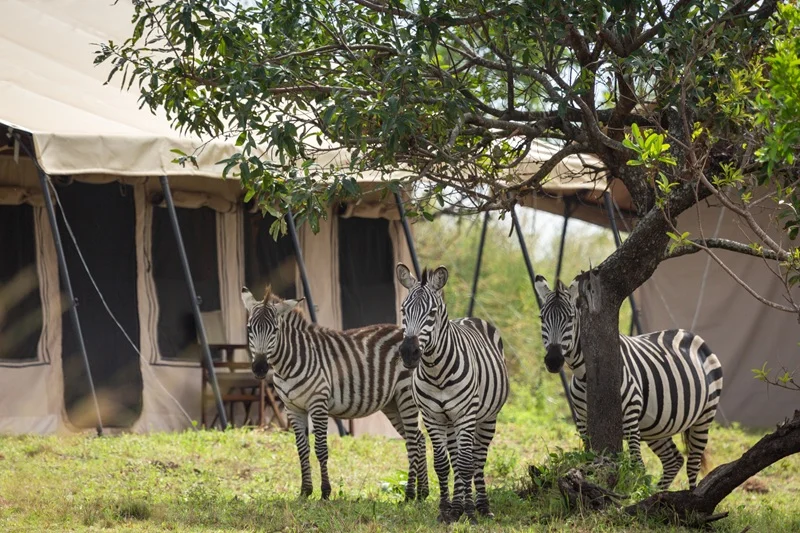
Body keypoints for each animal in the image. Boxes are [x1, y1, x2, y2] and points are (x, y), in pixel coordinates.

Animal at [240, 286, 428, 501]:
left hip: (406, 396)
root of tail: (413, 338)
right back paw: (423, 493)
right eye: (249, 329)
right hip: (392, 403)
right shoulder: (292, 408)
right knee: (419, 440)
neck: (288, 364)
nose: (260, 368)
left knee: (413, 442)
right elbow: (302, 449)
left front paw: (325, 492)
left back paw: (410, 494)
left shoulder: (318, 404)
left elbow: (321, 449)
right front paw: (305, 491)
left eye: (275, 330)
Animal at [396, 263, 509, 524]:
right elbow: (442, 464)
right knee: (457, 459)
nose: (408, 353)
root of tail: (470, 318)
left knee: (477, 459)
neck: (436, 372)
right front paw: (445, 510)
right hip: (450, 423)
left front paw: (469, 512)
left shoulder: (465, 415)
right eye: (403, 310)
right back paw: (457, 506)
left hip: (486, 418)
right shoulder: (432, 417)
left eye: (432, 313)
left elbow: (467, 463)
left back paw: (481, 507)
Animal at [534, 275, 724, 490]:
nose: (553, 360)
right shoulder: (582, 418)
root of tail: (690, 334)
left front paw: (632, 493)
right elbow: (587, 456)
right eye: (542, 318)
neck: (585, 375)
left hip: (705, 415)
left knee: (692, 463)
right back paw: (657, 493)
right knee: (673, 460)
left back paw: (692, 495)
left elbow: (637, 465)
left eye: (571, 318)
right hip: (657, 426)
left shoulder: (631, 413)